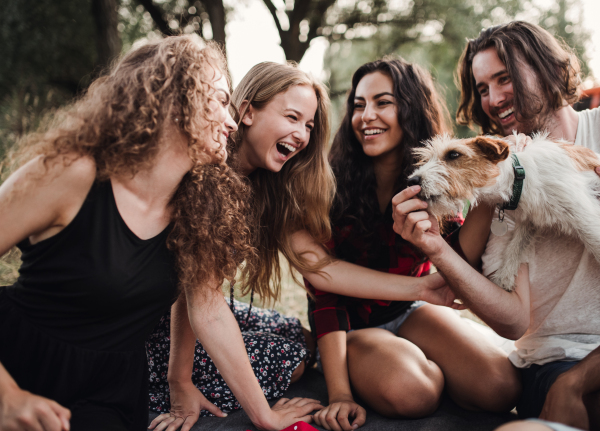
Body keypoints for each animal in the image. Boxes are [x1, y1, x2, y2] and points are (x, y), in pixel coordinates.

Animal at [408, 133, 600, 292]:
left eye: (453, 154)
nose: (412, 180)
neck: (520, 177)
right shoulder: (529, 222)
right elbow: (515, 247)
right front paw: (504, 278)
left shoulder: (587, 221)